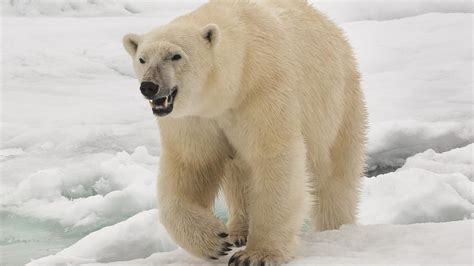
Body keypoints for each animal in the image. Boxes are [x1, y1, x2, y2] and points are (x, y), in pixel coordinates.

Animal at [122, 0, 366, 264]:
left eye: (176, 56)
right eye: (142, 59)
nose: (149, 86)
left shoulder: (263, 92)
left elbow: (274, 158)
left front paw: (256, 255)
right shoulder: (194, 118)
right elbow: (191, 164)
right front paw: (215, 240)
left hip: (338, 105)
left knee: (335, 176)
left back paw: (335, 227)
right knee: (238, 176)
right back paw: (238, 231)